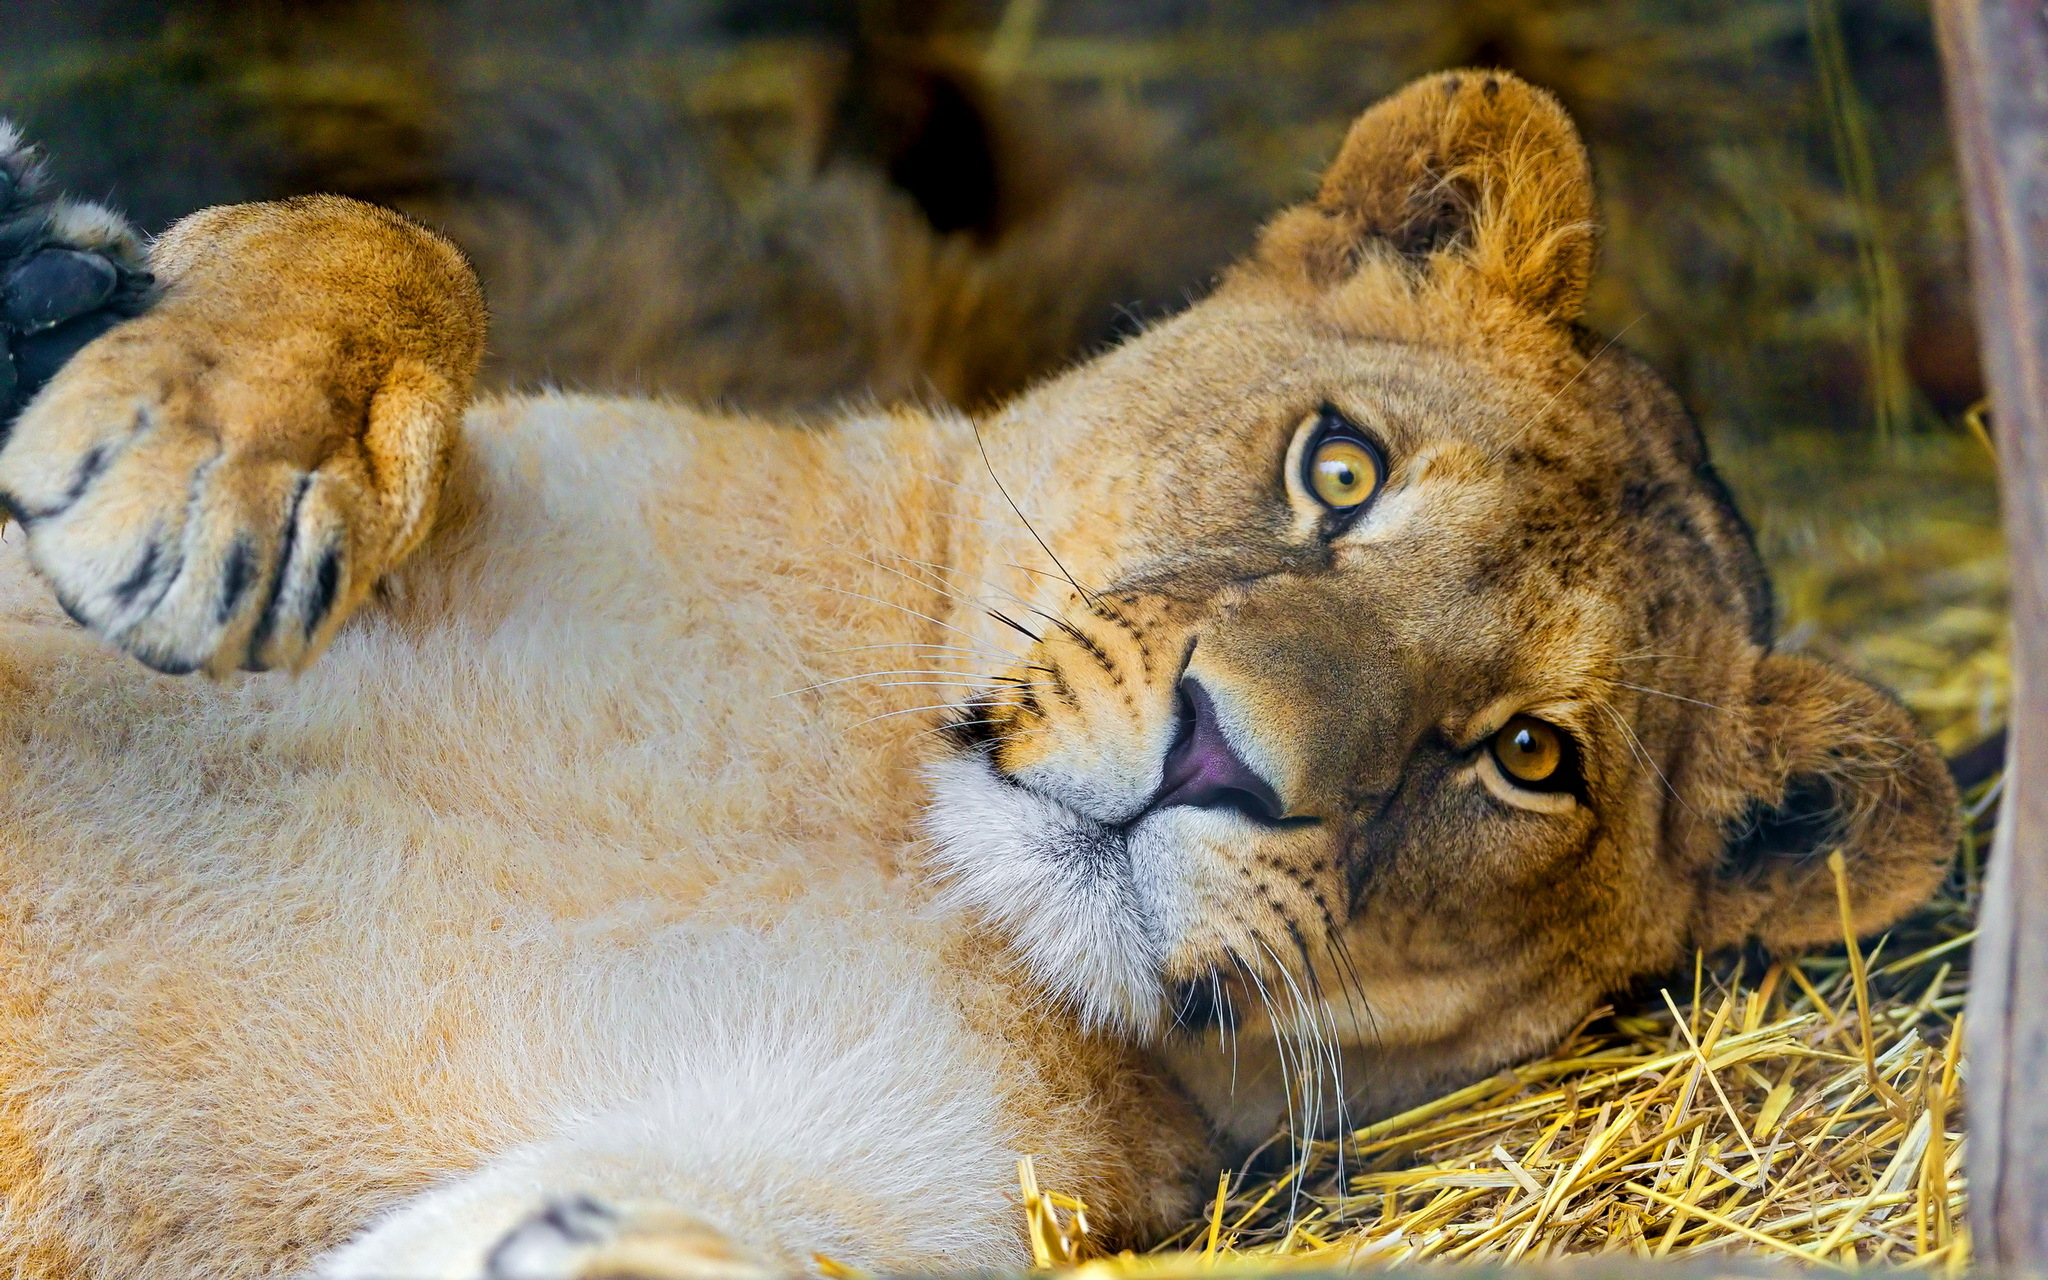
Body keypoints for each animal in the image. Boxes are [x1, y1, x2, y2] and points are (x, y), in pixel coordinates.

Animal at [0, 72, 1957, 1277]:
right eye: (1340, 470)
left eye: (1532, 759)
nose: (1218, 760)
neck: (885, 842)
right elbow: (393, 244)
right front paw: (196, 450)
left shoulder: (915, 1170)